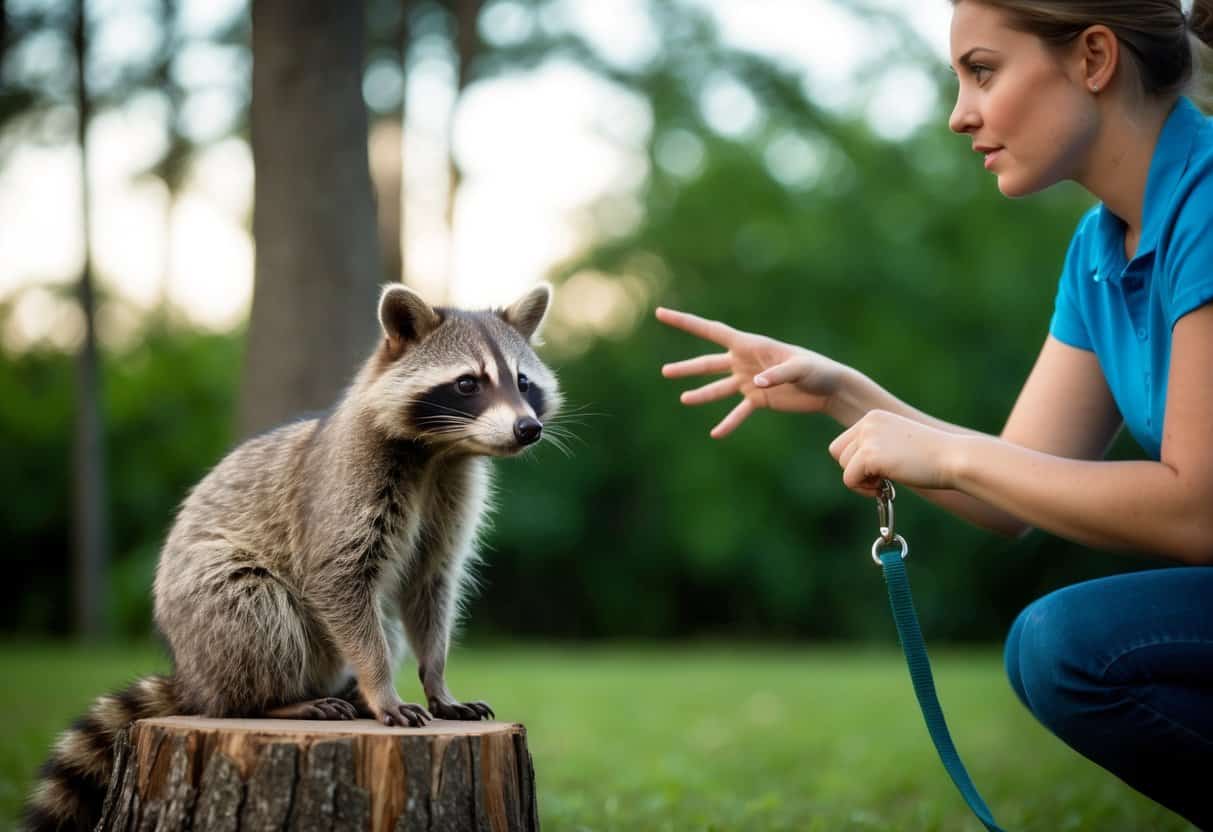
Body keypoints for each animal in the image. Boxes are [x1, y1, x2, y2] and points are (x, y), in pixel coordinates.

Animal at [24, 282, 561, 831]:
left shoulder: (452, 495)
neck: (440, 450)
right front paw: (381, 686)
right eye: (468, 383)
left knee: (384, 622)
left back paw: (345, 693)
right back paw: (271, 703)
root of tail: (193, 677)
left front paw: (436, 680)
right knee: (257, 613)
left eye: (522, 382)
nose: (528, 428)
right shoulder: (346, 486)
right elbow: (337, 578)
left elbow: (429, 585)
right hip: (208, 608)